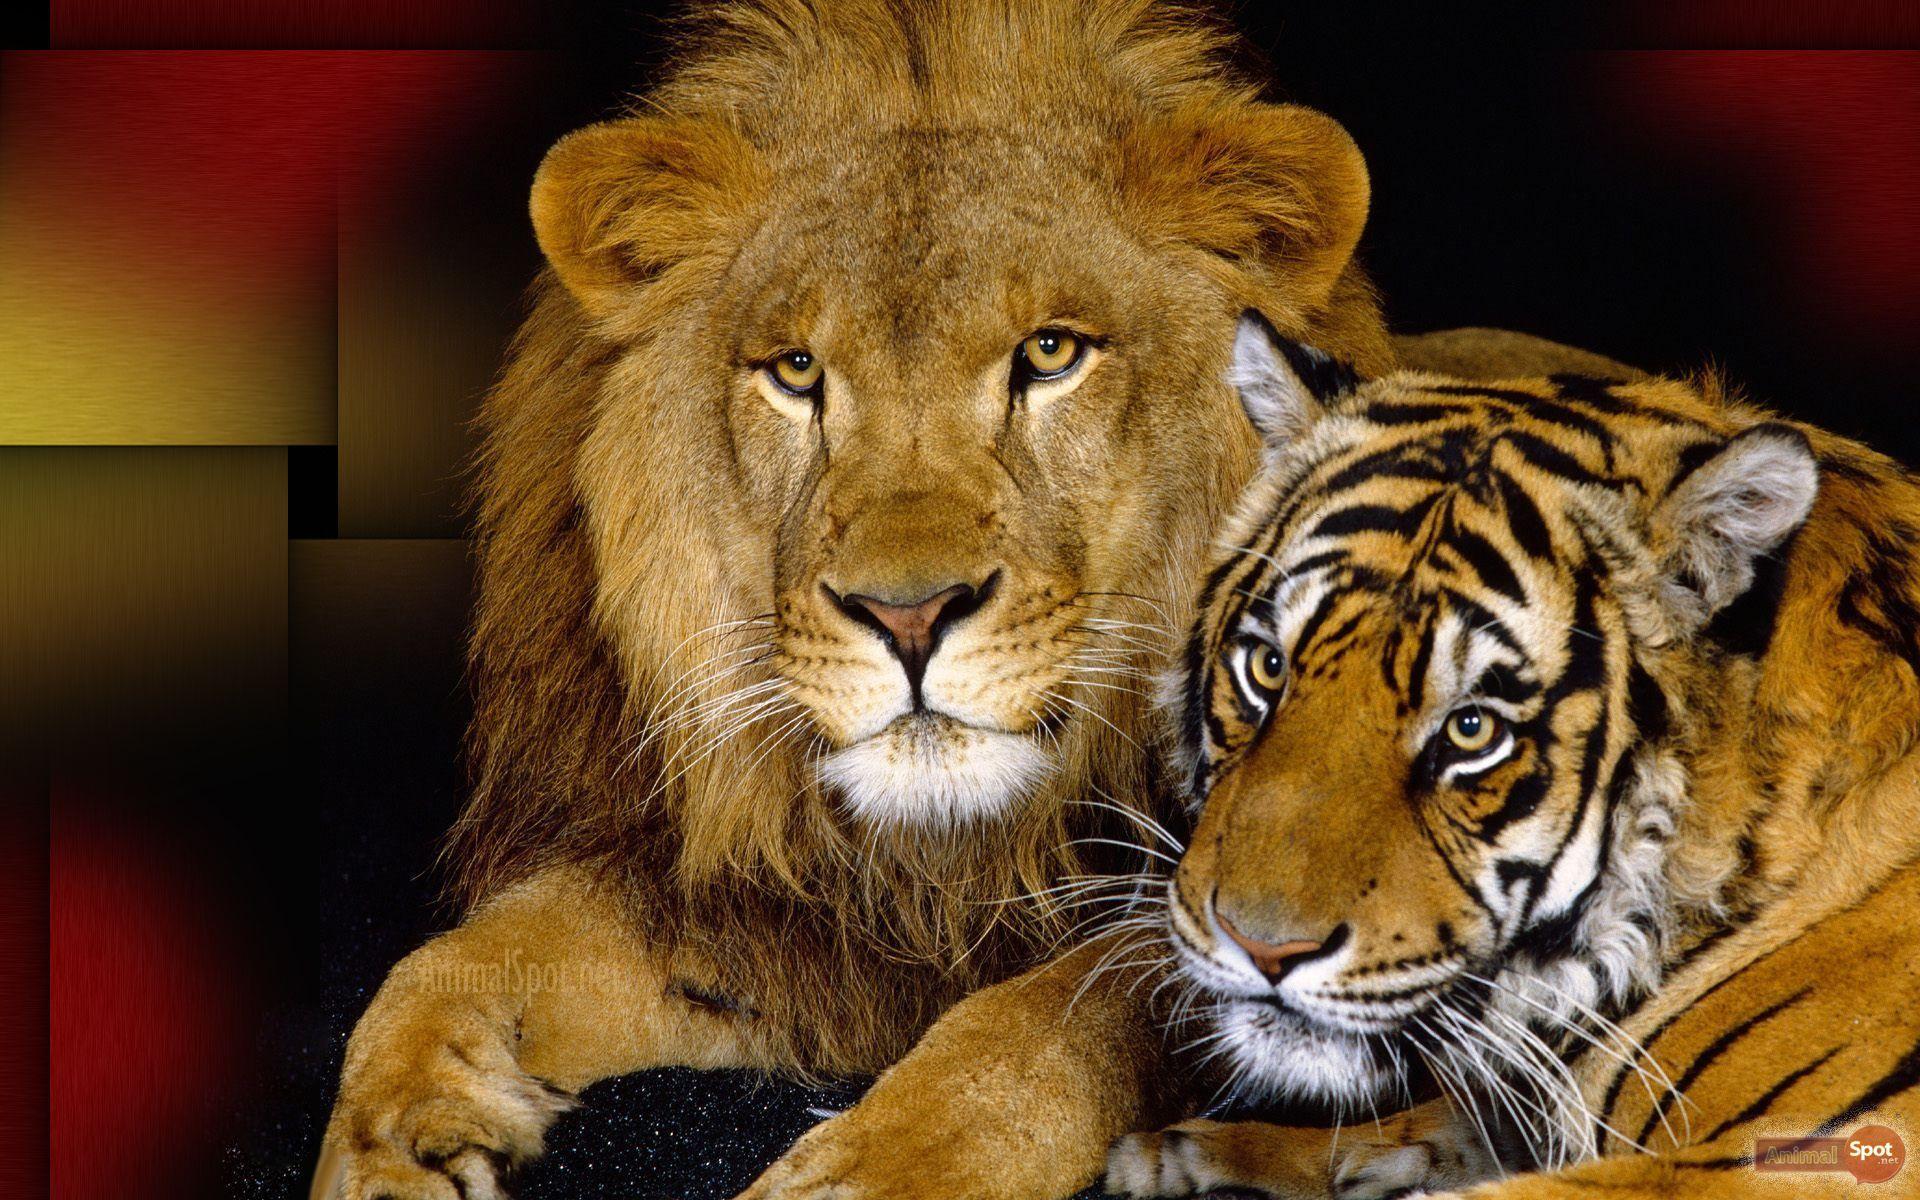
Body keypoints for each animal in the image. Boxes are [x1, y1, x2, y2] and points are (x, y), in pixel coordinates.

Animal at [312, 4, 1628, 1198]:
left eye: (1051, 353)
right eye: (797, 371)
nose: (908, 617)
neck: (947, 858)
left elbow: (1051, 1019)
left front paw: (878, 1166)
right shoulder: (767, 915)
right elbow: (454, 964)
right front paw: (396, 1144)